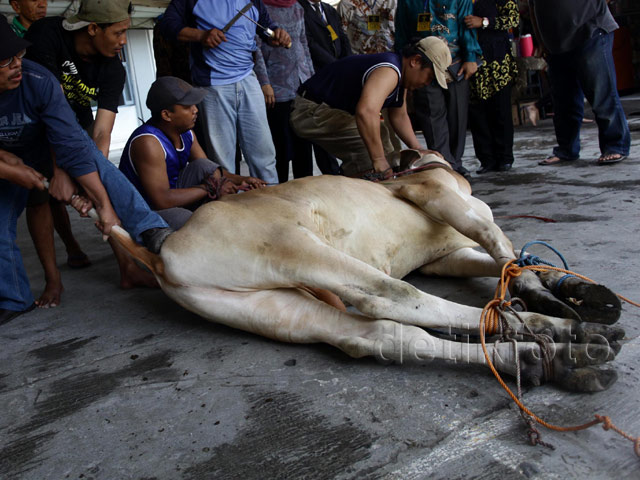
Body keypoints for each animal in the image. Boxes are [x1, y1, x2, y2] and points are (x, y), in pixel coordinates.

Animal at [111, 151, 624, 394]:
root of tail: (160, 253)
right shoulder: (436, 196)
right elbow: (500, 245)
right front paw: (552, 300)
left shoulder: (445, 254)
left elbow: (509, 259)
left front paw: (570, 290)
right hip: (295, 246)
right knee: (391, 296)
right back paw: (559, 335)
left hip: (263, 304)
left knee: (376, 336)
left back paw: (542, 357)